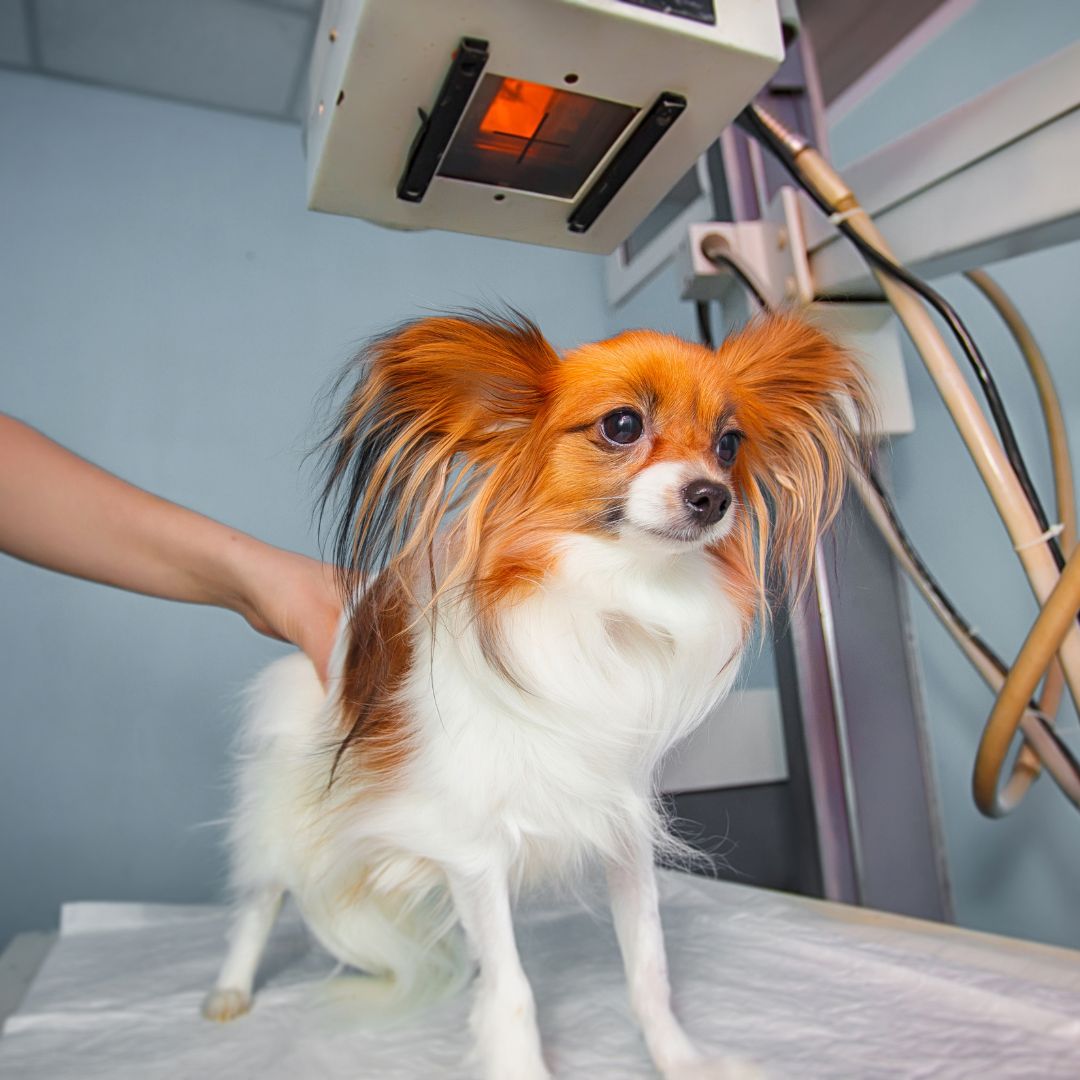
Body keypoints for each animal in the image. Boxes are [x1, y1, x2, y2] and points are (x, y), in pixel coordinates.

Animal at [204, 308, 876, 1075]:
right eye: (622, 425)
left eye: (729, 444)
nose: (714, 496)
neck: (612, 598)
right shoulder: (473, 851)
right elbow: (513, 991)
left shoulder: (621, 832)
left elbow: (648, 970)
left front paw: (681, 1059)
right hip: (284, 808)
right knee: (260, 898)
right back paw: (231, 989)